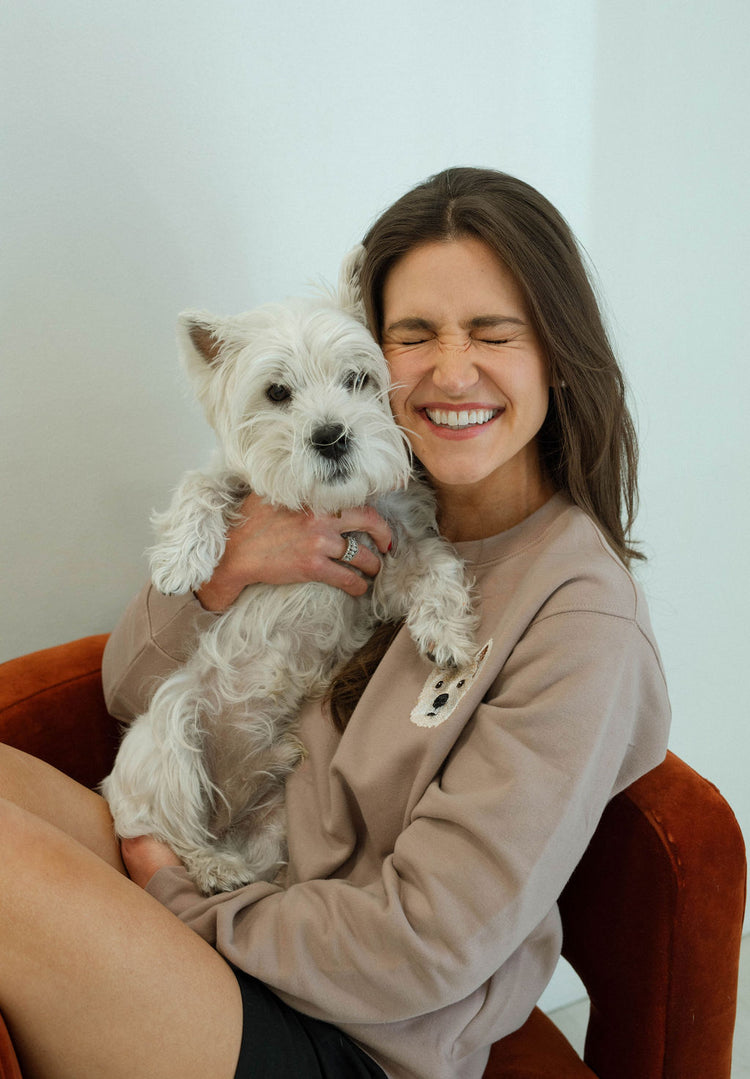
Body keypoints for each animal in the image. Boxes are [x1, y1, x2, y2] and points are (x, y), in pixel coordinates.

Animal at [101, 247, 474, 893]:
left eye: (358, 378)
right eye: (276, 392)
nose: (331, 437)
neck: (329, 506)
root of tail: (227, 814)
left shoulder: (387, 560)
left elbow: (437, 565)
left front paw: (447, 635)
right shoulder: (234, 483)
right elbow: (201, 485)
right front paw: (180, 562)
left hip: (274, 813)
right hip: (169, 729)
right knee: (168, 834)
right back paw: (215, 869)